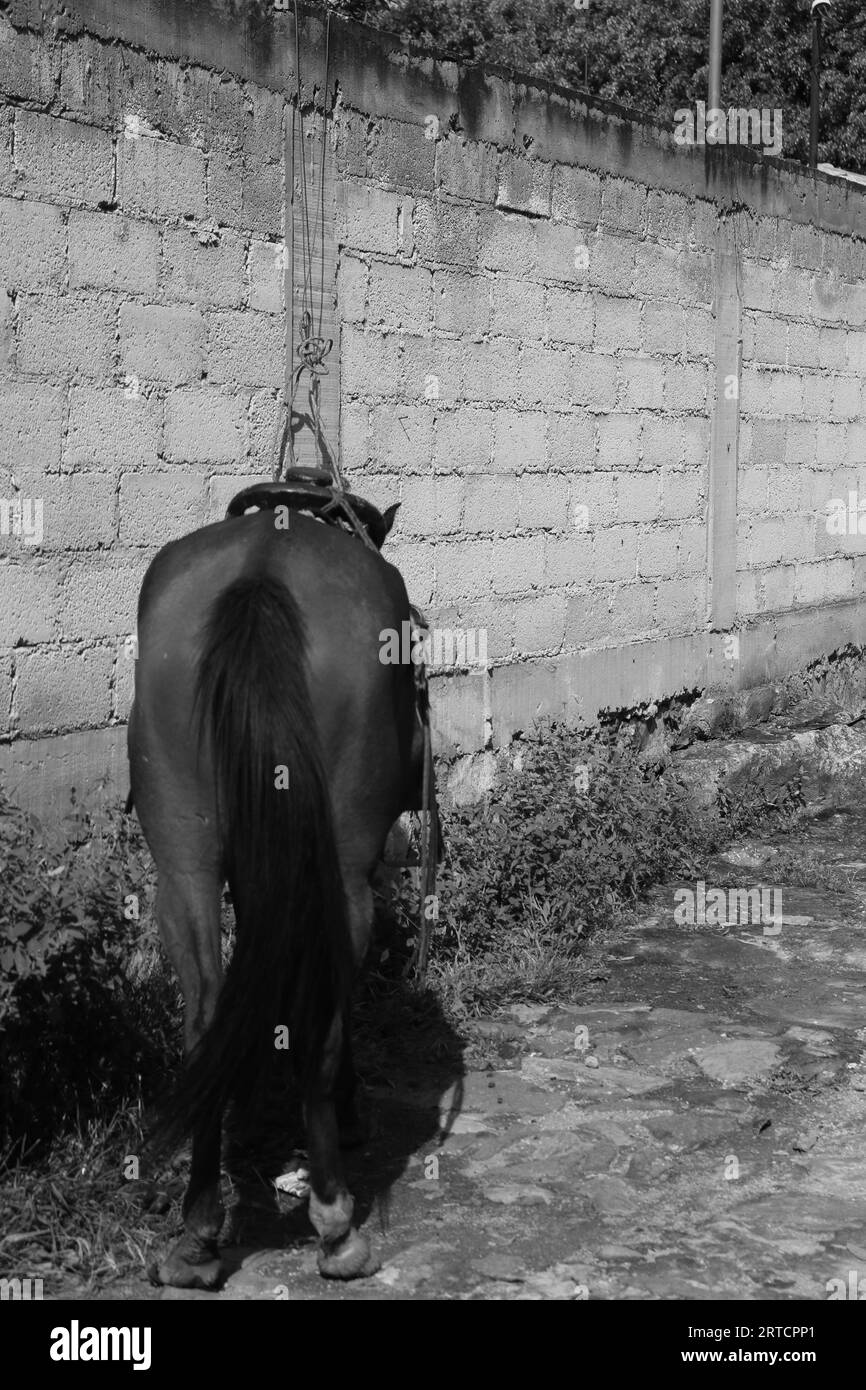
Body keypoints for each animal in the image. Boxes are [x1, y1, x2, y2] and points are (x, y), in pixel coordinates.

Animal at [127, 494, 422, 1284]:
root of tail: (261, 575)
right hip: (344, 871)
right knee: (320, 1010)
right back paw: (335, 1222)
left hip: (184, 862)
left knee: (203, 1007)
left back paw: (198, 1232)